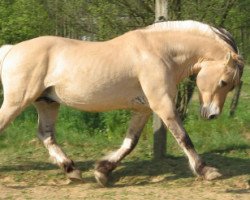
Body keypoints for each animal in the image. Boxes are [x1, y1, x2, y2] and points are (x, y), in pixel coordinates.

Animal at [0, 19, 243, 186]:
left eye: (231, 86)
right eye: (224, 82)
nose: (212, 114)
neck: (160, 52)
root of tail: (11, 50)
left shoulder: (143, 109)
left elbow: (130, 143)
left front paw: (102, 171)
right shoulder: (162, 104)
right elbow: (183, 138)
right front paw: (207, 171)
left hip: (47, 102)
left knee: (46, 134)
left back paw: (72, 170)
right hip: (17, 101)